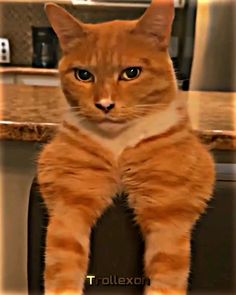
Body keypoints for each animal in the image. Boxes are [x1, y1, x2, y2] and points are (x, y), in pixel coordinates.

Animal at [37, 1, 216, 294]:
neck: (119, 146)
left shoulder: (168, 211)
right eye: (83, 75)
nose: (105, 105)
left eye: (131, 73)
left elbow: (168, 272)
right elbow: (61, 263)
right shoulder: (70, 201)